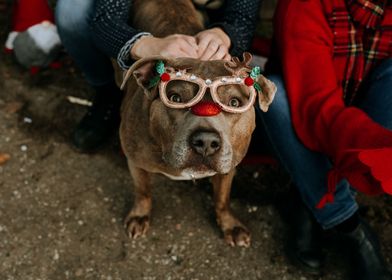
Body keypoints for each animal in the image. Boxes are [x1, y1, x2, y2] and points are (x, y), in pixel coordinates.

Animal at [119, 0, 276, 246]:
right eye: (175, 98)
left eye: (234, 102)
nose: (206, 142)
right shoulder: (136, 161)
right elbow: (142, 190)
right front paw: (140, 215)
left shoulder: (229, 167)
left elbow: (222, 198)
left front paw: (229, 224)